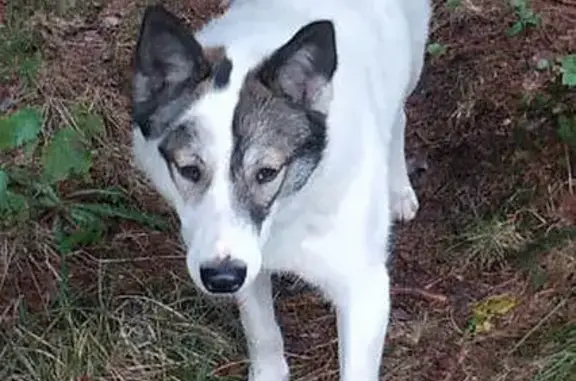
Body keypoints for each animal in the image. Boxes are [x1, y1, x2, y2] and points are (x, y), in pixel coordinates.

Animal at [128, 0, 430, 378]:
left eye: (267, 172)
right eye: (190, 170)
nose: (220, 279)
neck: (288, 208)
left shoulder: (366, 292)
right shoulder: (246, 265)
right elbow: (261, 329)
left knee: (400, 115)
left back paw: (399, 190)